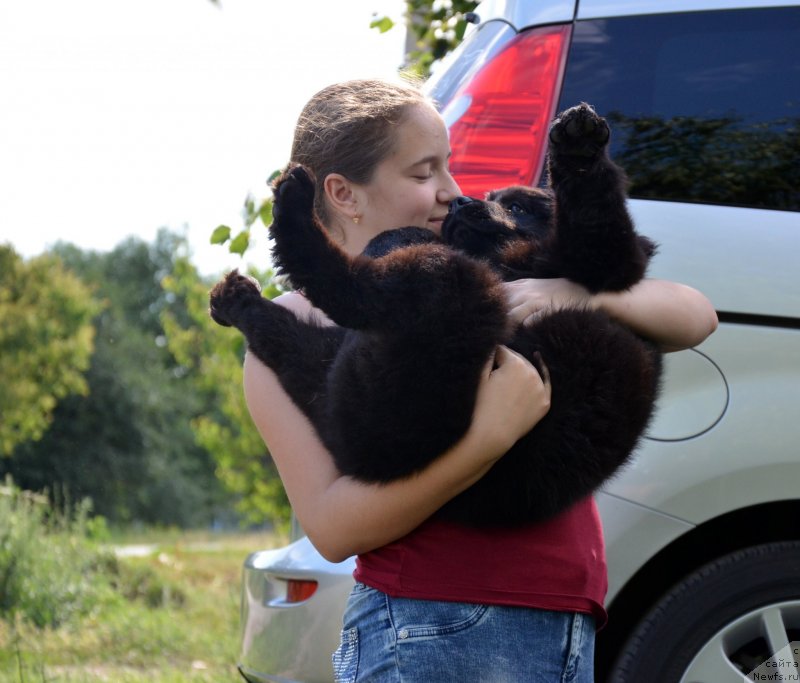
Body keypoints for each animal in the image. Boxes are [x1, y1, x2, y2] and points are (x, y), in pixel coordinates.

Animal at [209, 104, 660, 528]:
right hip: (349, 365)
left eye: (515, 206)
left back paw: (293, 216)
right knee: (293, 339)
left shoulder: (605, 260)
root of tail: (364, 459)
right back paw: (237, 299)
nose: (459, 201)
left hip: (432, 333)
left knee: (348, 287)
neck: (502, 258)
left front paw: (579, 146)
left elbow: (593, 206)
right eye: (490, 197)